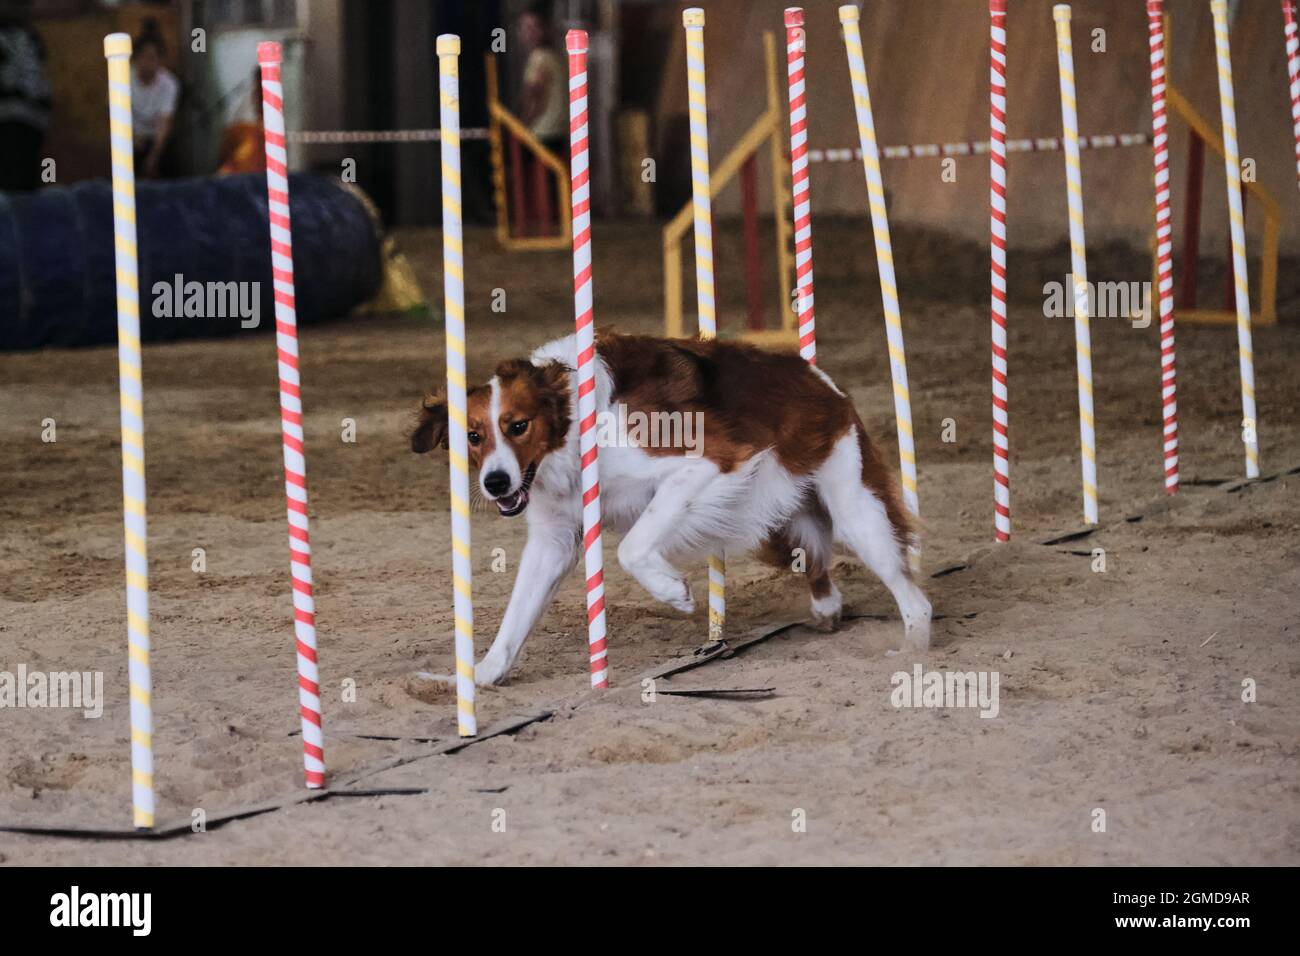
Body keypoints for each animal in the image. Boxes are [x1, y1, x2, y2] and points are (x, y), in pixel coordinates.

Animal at [410, 332, 930, 686]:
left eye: (518, 426)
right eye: (473, 436)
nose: (495, 483)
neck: (576, 428)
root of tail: (819, 379)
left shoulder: (706, 463)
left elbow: (633, 547)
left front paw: (672, 591)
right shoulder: (553, 538)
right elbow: (516, 616)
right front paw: (481, 677)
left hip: (855, 511)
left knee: (914, 598)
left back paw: (912, 650)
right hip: (783, 522)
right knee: (818, 564)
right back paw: (827, 608)